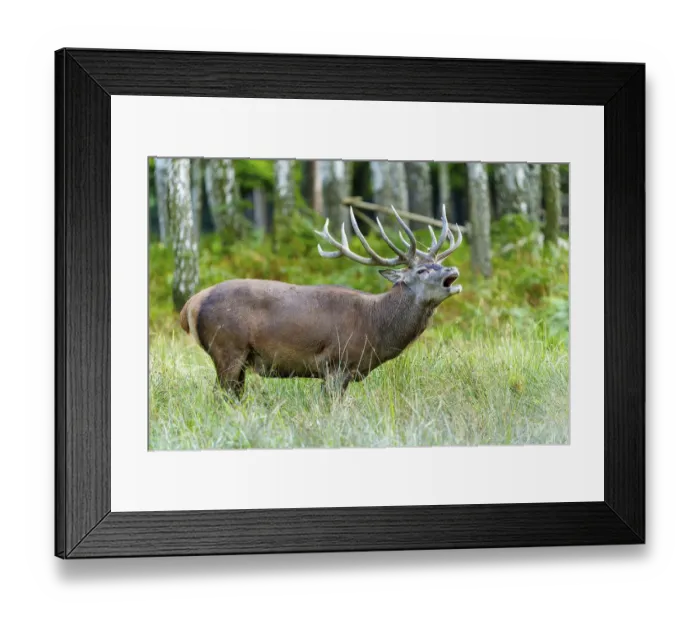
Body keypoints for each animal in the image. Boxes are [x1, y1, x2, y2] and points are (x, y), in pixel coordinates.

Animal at [179, 204, 464, 398]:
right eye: (422, 270)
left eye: (438, 264)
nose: (452, 271)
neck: (375, 328)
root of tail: (190, 305)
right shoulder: (336, 364)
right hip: (227, 348)